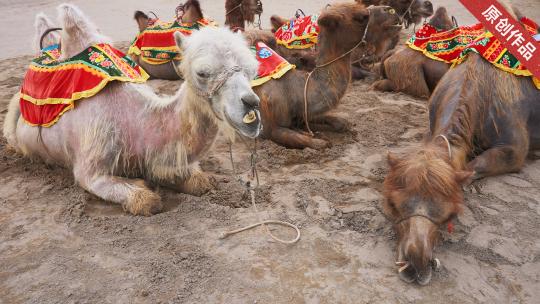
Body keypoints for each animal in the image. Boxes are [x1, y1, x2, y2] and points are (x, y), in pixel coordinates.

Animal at [3, 3, 262, 215]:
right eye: (202, 73)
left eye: (252, 70)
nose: (251, 106)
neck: (138, 122)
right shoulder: (91, 166)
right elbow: (146, 201)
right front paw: (145, 193)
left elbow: (200, 182)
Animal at [255, 2, 402, 150]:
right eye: (361, 17)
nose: (390, 10)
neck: (293, 91)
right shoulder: (270, 125)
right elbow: (314, 142)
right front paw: (317, 138)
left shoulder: (307, 111)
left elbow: (341, 123)